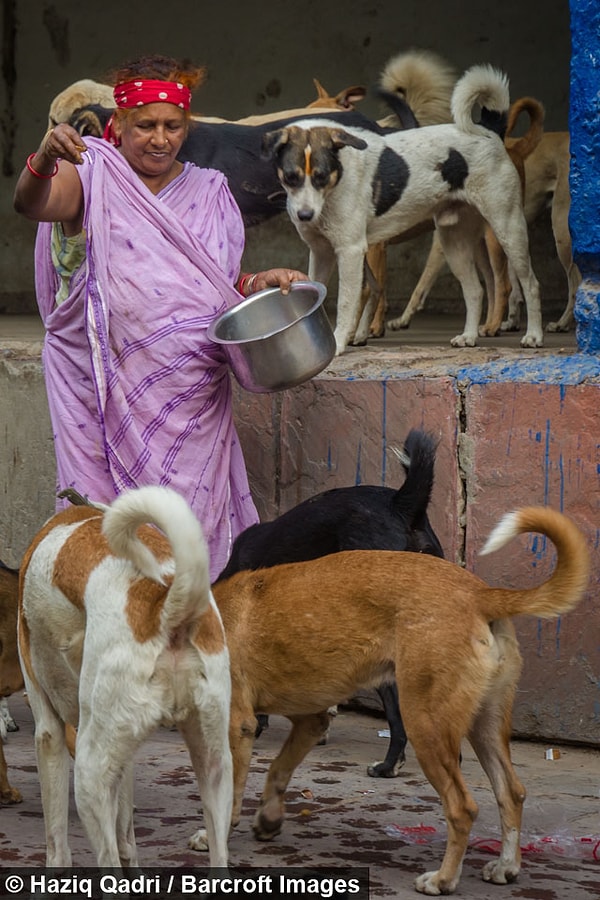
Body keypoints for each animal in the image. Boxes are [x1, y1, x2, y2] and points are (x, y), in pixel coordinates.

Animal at [17, 486, 233, 872]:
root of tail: (167, 606)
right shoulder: (122, 758)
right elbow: (128, 838)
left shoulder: (49, 732)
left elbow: (58, 847)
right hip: (215, 766)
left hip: (88, 775)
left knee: (108, 863)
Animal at [192, 510, 592, 896]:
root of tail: (479, 592)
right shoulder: (312, 720)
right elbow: (277, 770)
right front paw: (268, 820)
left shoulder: (237, 726)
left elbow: (228, 794)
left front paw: (216, 837)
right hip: (485, 725)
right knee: (512, 792)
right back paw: (506, 866)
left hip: (425, 724)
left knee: (462, 807)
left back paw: (443, 880)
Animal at [262, 64, 544, 356]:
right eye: (291, 177)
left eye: (320, 176)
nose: (304, 216)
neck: (335, 184)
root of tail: (489, 129)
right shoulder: (321, 251)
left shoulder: (351, 251)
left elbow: (347, 302)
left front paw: (339, 343)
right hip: (453, 241)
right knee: (475, 290)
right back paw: (468, 336)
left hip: (507, 229)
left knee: (530, 283)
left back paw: (533, 335)